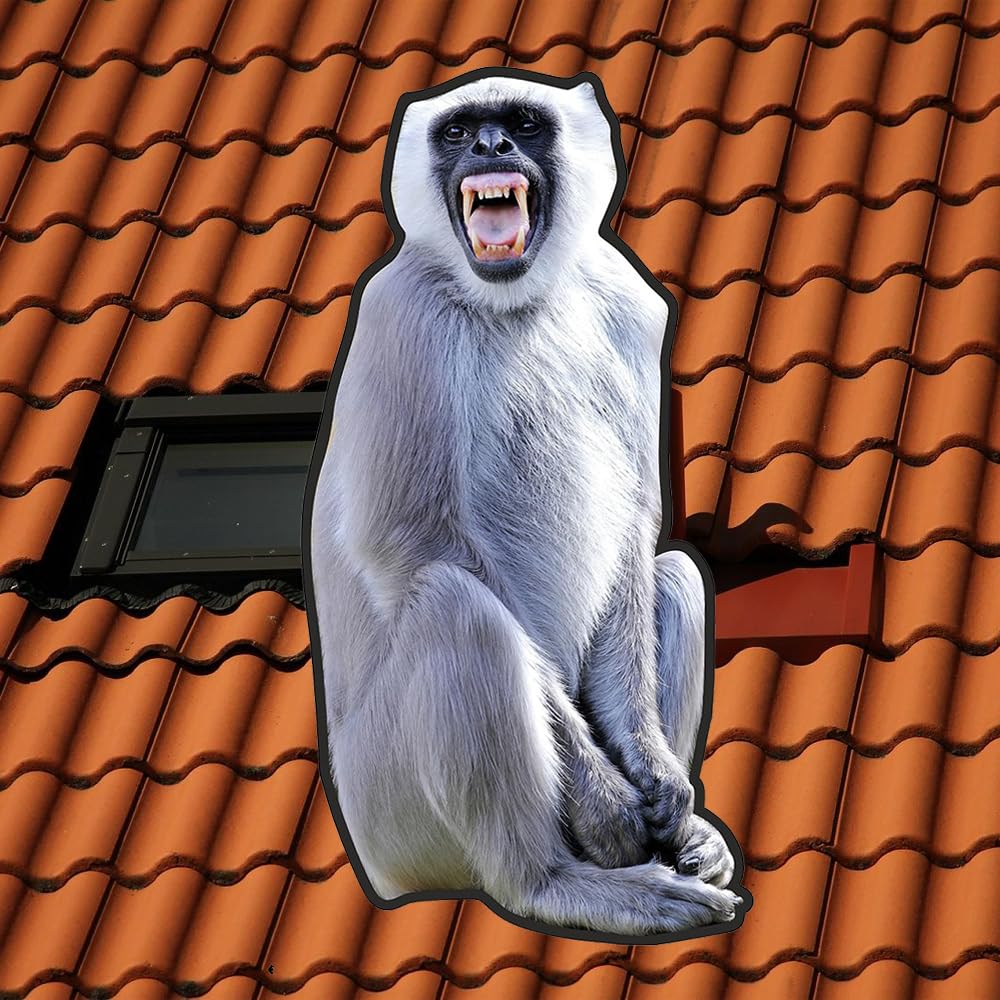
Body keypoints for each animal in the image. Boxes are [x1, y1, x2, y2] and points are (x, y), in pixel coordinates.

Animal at [306, 70, 746, 938]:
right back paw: (552, 882)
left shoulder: (626, 301)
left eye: (521, 121)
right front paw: (610, 804)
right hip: (391, 809)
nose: (490, 145)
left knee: (674, 574)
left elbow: (636, 529)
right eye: (458, 131)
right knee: (454, 604)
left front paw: (654, 774)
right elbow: (408, 544)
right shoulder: (397, 312)